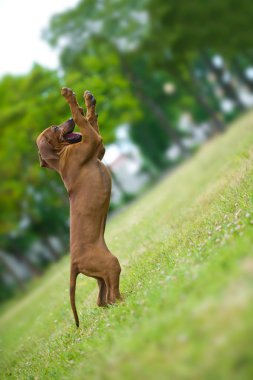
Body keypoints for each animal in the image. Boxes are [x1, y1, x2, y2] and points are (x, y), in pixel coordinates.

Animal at [36, 87, 121, 326]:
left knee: (103, 299)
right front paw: (70, 99)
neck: (60, 158)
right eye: (55, 128)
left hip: (100, 273)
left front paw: (88, 103)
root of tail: (73, 263)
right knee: (111, 296)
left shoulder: (98, 148)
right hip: (110, 263)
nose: (66, 121)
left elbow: (90, 121)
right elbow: (84, 123)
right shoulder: (93, 141)